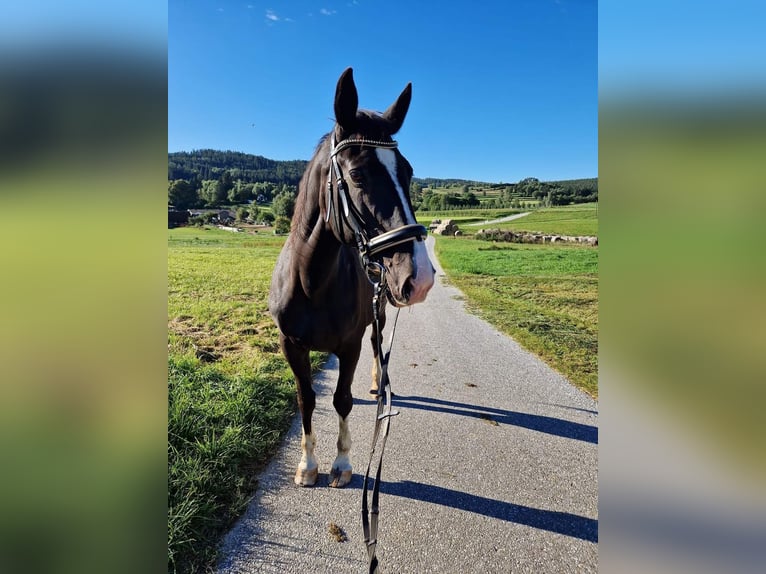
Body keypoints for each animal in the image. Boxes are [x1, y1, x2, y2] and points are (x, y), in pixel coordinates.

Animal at [272, 68, 438, 490]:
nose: (421, 277)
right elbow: (307, 400)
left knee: (380, 346)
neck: (311, 283)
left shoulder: (350, 345)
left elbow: (341, 400)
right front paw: (307, 465)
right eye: (358, 174)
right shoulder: (290, 346)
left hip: (379, 311)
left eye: (408, 172)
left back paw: (380, 382)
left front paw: (342, 464)